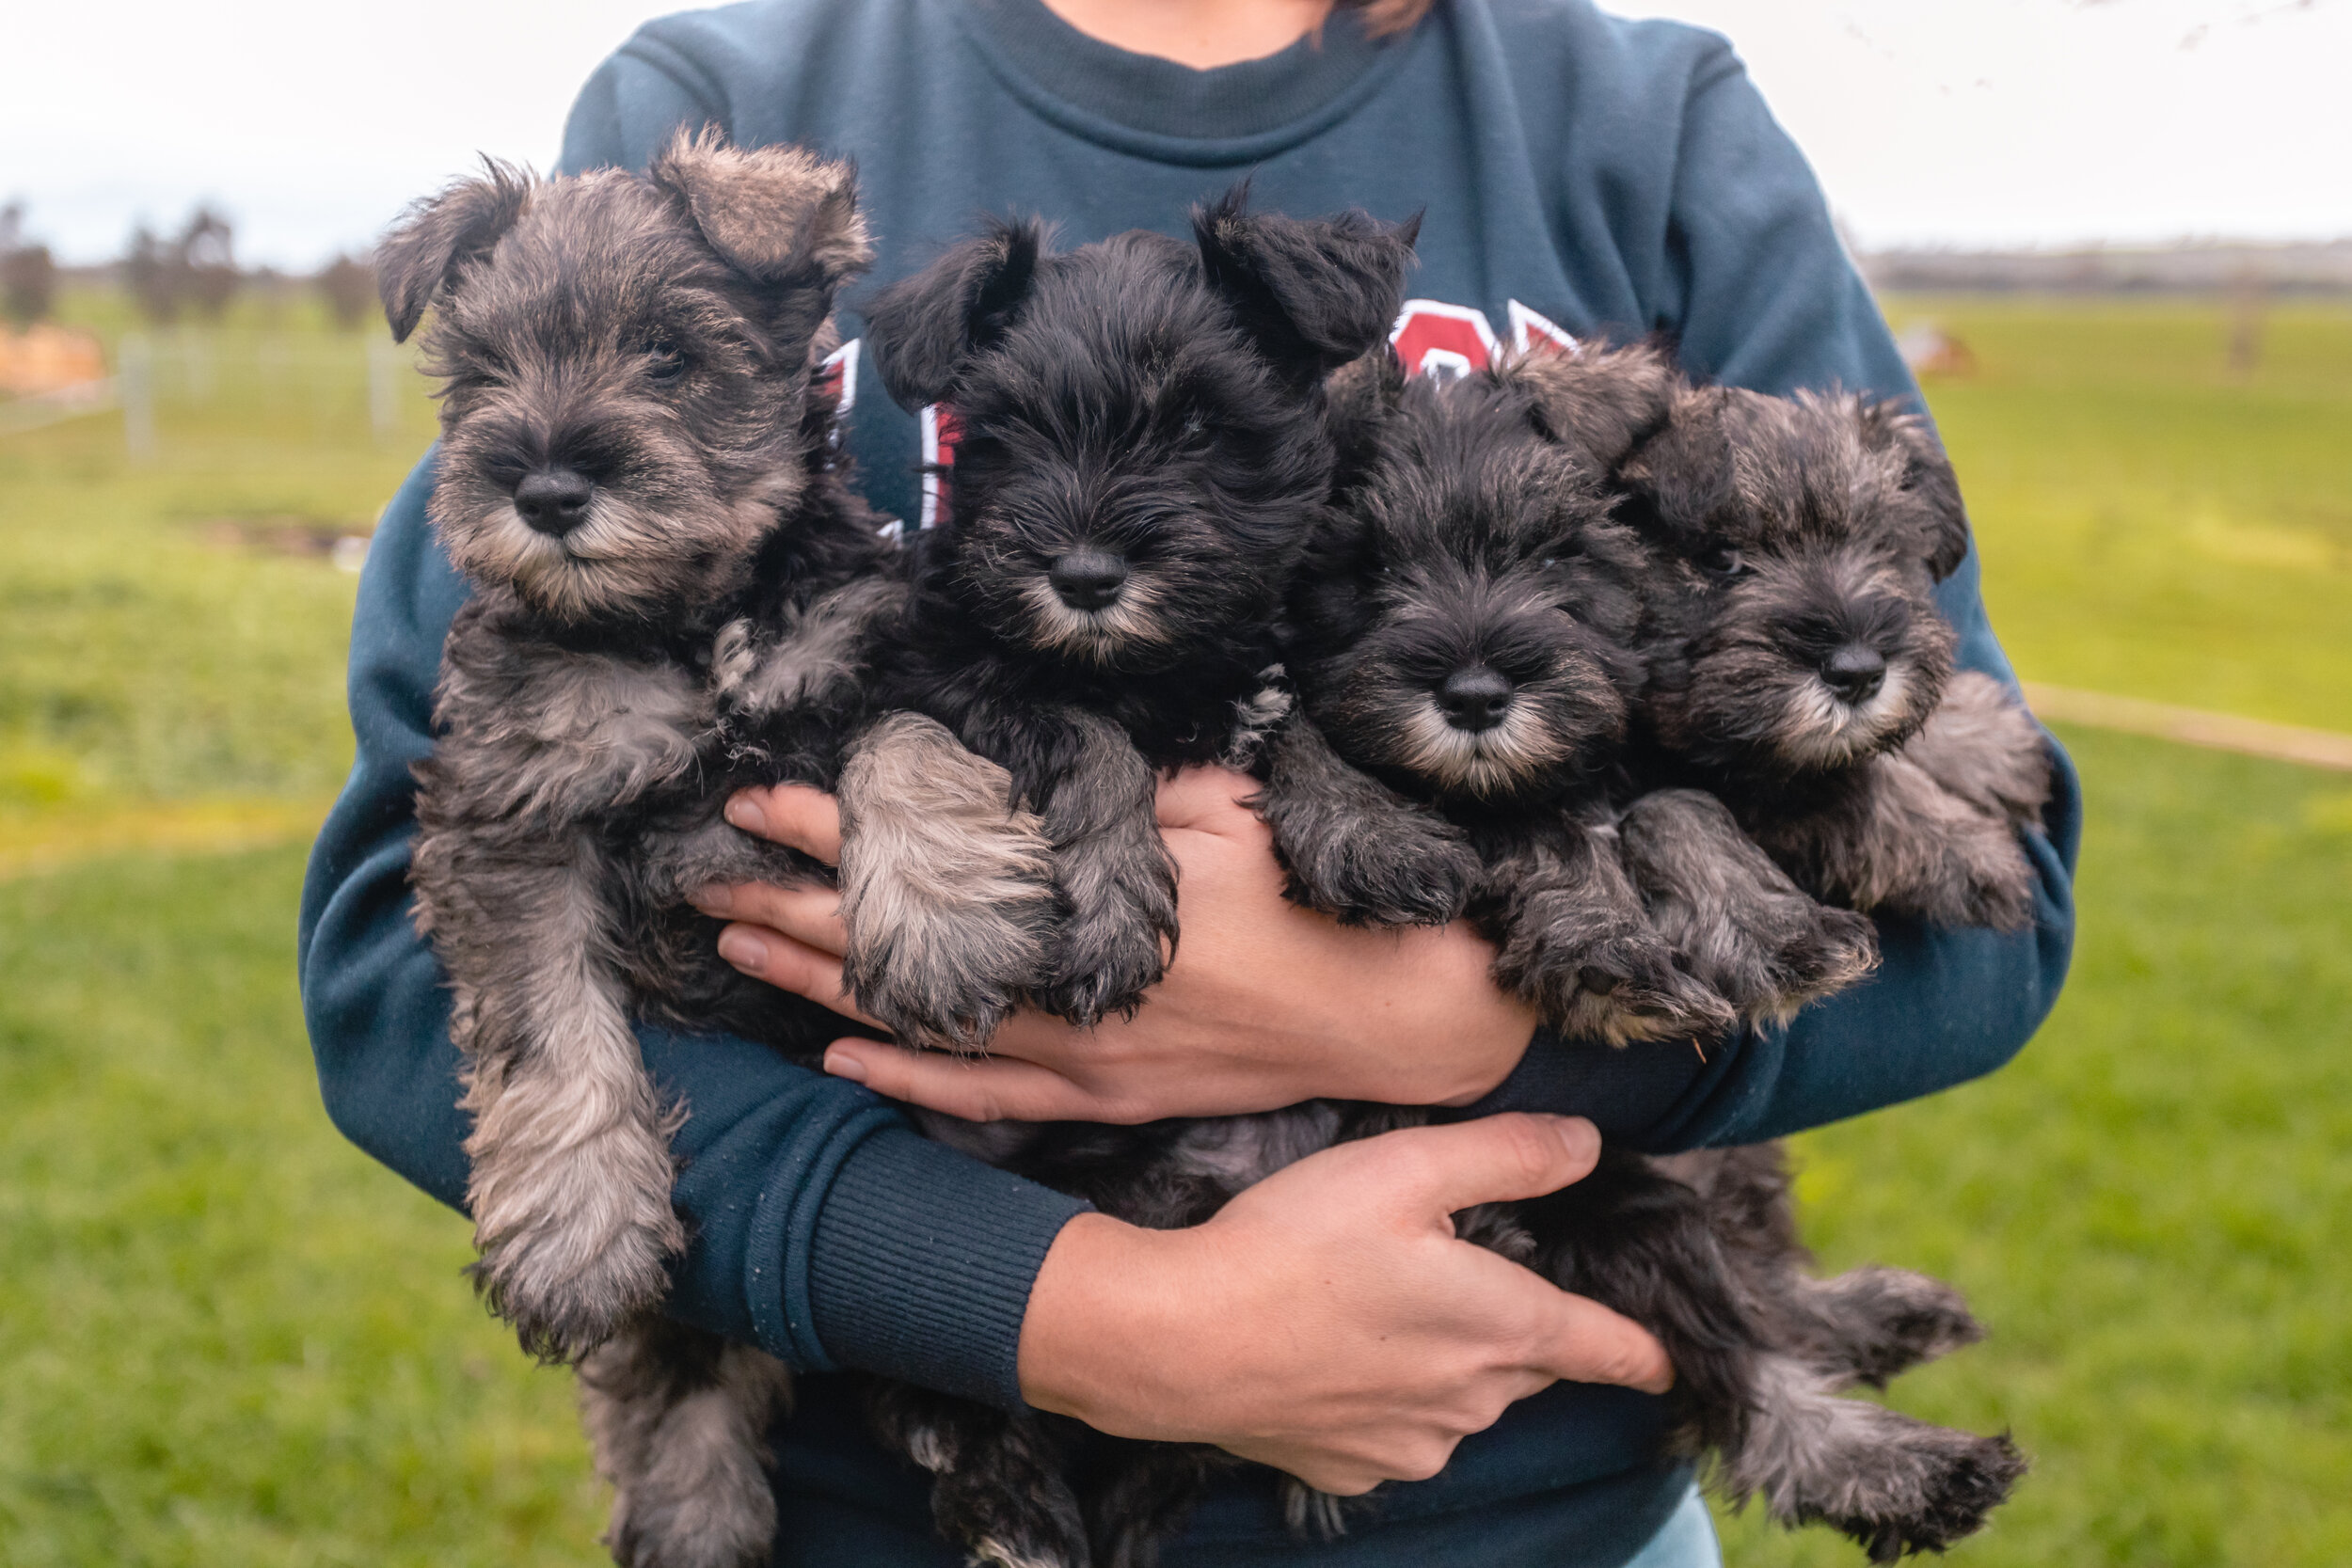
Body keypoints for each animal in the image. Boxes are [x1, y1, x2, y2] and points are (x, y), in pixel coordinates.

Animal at [381, 131, 894, 1568]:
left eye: (669, 354)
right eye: (483, 368)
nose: (546, 488)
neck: (679, 621)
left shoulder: (853, 651)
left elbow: (915, 746)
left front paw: (961, 910)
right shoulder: (513, 814)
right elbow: (553, 1031)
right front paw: (576, 1230)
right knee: (680, 1396)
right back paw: (694, 1511)